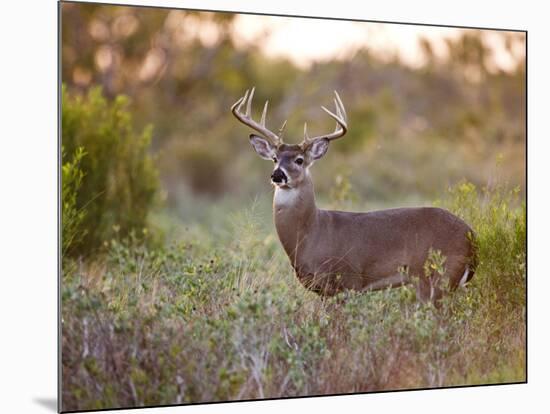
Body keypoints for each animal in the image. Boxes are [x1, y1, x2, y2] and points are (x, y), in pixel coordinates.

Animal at [231, 87, 476, 300]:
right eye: (275, 159)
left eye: (299, 160)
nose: (277, 175)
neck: (312, 232)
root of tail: (472, 236)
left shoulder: (346, 282)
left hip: (436, 277)